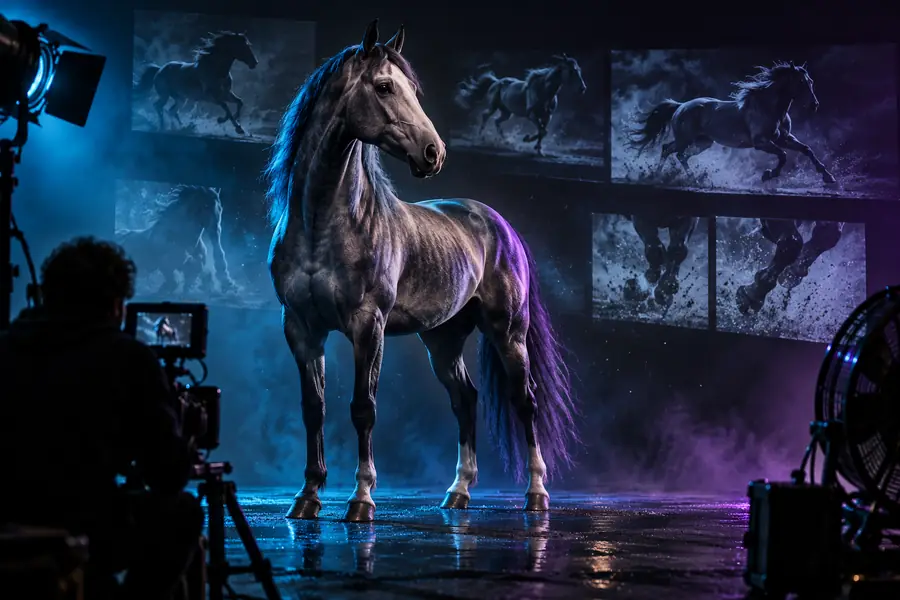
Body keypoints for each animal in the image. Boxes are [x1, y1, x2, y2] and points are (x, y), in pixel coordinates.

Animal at [454, 54, 587, 155]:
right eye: (571, 71)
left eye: (579, 70)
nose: (583, 88)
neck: (544, 91)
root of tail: (496, 81)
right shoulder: (532, 115)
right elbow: (542, 131)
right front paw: (527, 139)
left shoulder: (547, 116)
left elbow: (543, 131)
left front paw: (539, 150)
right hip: (494, 106)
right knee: (485, 115)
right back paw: (480, 138)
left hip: (506, 112)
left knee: (497, 121)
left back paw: (505, 141)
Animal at [627, 61, 837, 185]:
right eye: (800, 82)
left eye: (810, 81)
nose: (814, 105)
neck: (770, 108)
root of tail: (680, 106)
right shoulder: (761, 143)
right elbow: (783, 156)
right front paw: (768, 174)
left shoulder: (784, 138)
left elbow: (806, 149)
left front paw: (828, 176)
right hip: (685, 139)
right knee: (669, 150)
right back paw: (662, 176)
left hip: (702, 142)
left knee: (679, 155)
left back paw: (689, 178)